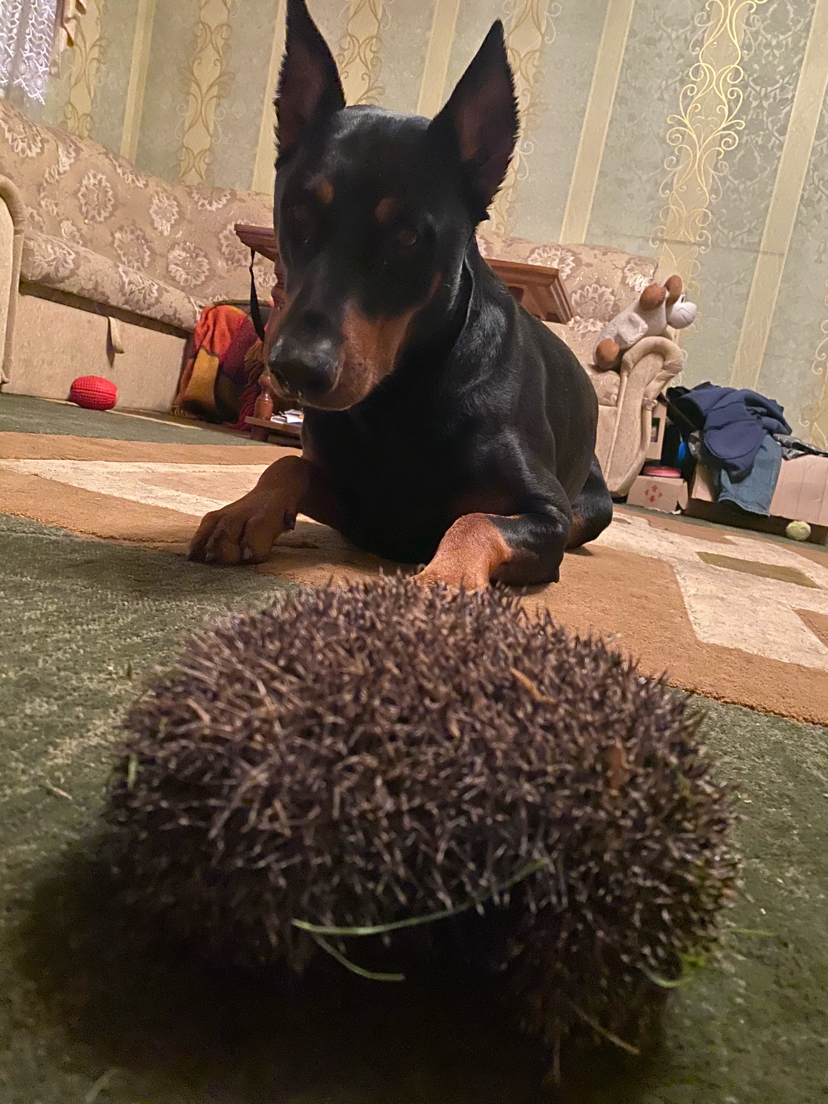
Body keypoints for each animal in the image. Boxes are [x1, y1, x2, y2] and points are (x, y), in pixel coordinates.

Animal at [189, 0, 618, 587]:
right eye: (298, 211)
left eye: (407, 236)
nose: (296, 369)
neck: (399, 395)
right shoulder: (362, 504)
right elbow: (286, 463)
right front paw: (240, 516)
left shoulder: (543, 512)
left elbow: (475, 520)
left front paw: (444, 581)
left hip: (594, 504)